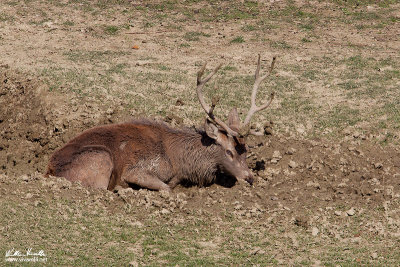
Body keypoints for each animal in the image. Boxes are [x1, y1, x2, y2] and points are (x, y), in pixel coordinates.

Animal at [43, 55, 276, 192]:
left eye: (247, 150)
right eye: (229, 151)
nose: (249, 178)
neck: (182, 161)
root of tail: (48, 170)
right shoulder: (137, 169)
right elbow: (166, 188)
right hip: (100, 157)